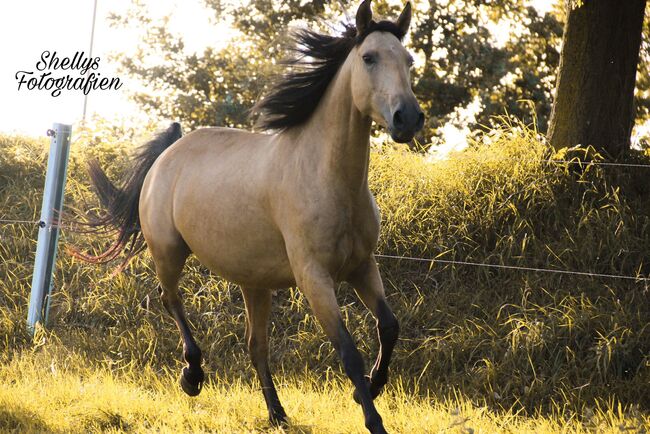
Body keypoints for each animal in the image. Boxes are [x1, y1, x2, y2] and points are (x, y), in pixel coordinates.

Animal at [81, 1, 422, 432]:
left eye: (409, 60)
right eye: (369, 58)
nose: (408, 118)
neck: (327, 179)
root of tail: (167, 154)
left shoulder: (362, 266)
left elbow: (389, 327)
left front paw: (371, 389)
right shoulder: (315, 278)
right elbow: (348, 351)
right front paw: (373, 418)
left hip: (254, 283)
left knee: (255, 345)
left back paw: (277, 413)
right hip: (169, 252)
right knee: (170, 298)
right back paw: (192, 376)